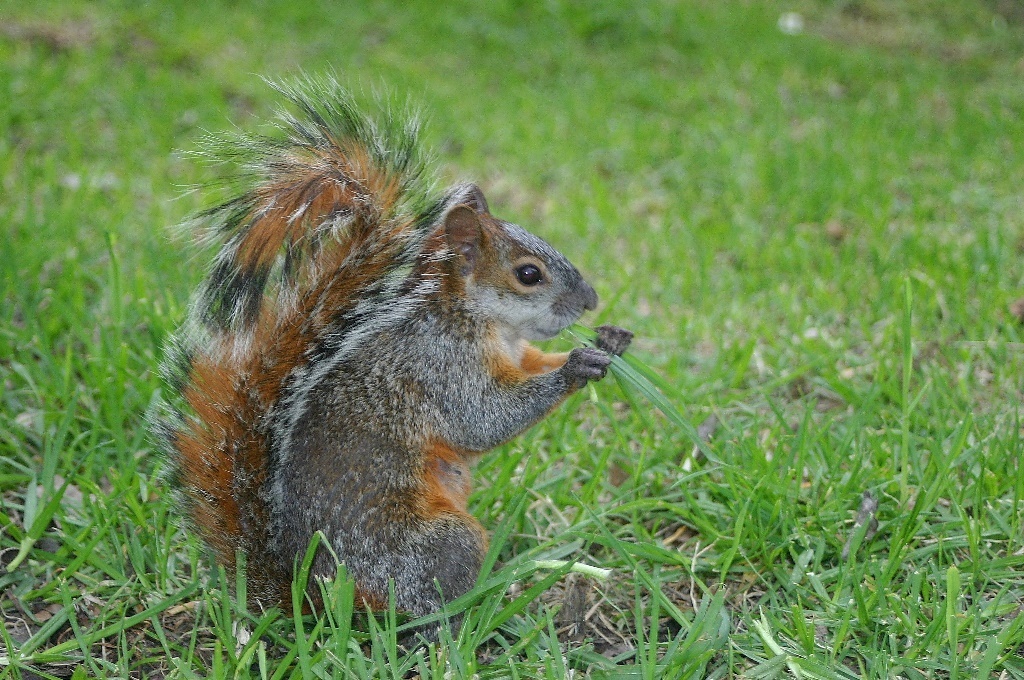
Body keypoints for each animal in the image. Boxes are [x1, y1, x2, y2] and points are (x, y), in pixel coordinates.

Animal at [151, 77, 633, 621]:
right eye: (529, 274)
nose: (590, 300)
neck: (483, 323)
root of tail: (312, 601)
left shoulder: (513, 354)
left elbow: (532, 366)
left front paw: (608, 344)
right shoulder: (439, 363)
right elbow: (483, 418)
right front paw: (576, 366)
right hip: (434, 545)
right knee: (426, 611)